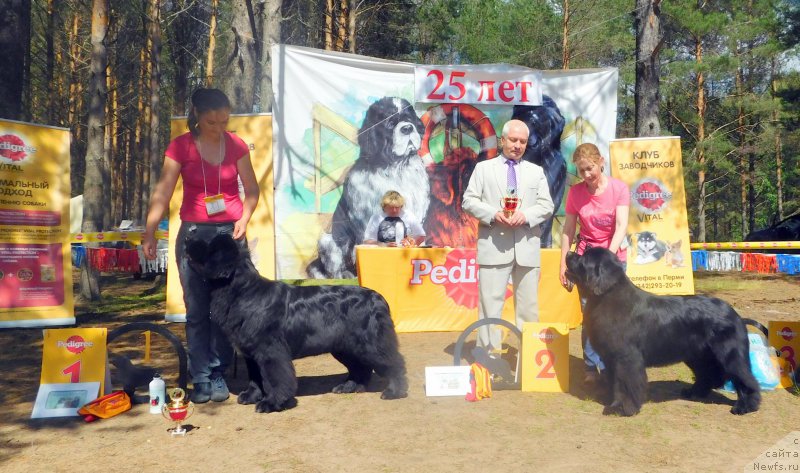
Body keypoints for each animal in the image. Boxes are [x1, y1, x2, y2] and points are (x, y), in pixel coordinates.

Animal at [187, 234, 410, 412]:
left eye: (208, 246)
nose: (189, 237)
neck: (242, 292)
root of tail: (379, 298)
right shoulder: (250, 352)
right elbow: (255, 377)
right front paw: (251, 396)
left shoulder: (270, 350)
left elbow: (275, 378)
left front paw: (272, 403)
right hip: (346, 347)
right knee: (360, 367)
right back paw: (348, 387)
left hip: (370, 343)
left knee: (394, 362)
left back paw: (394, 391)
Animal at [564, 245, 760, 414]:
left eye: (583, 259)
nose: (568, 253)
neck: (605, 296)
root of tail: (735, 314)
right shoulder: (611, 358)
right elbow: (615, 381)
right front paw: (610, 399)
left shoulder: (626, 358)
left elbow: (625, 384)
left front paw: (621, 408)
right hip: (698, 355)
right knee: (707, 374)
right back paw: (693, 392)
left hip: (729, 355)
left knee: (744, 378)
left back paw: (745, 406)